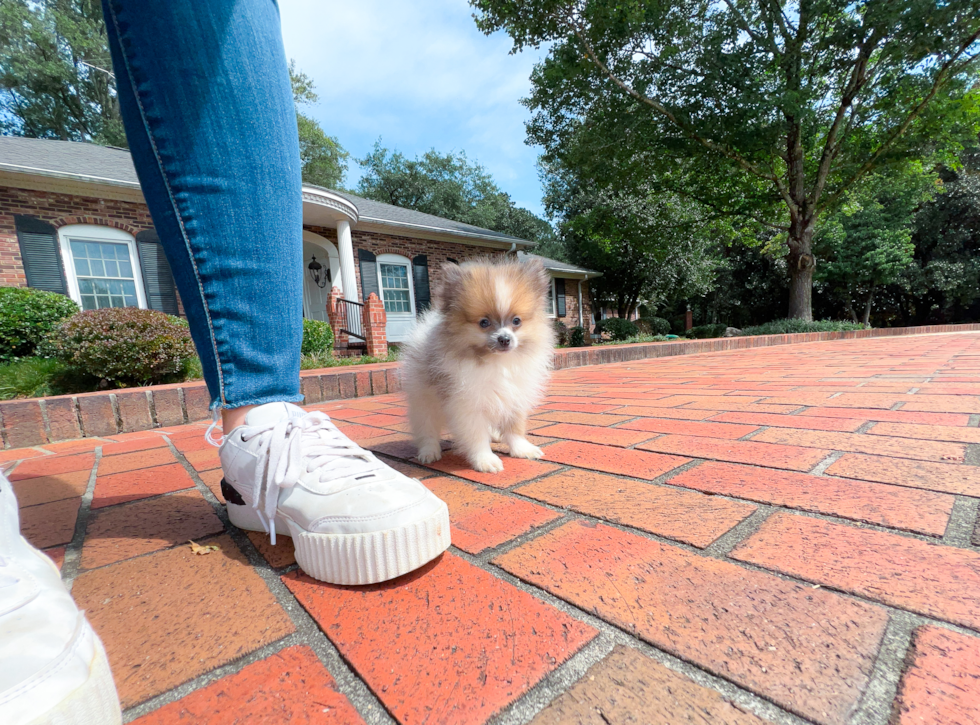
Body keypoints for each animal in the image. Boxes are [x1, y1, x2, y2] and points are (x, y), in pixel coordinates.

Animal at [402, 258, 556, 472]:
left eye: (516, 320)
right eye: (484, 322)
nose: (504, 339)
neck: (498, 363)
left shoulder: (514, 395)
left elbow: (515, 428)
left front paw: (522, 449)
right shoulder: (467, 403)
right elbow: (476, 435)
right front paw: (485, 460)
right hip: (424, 398)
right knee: (427, 426)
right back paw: (429, 452)